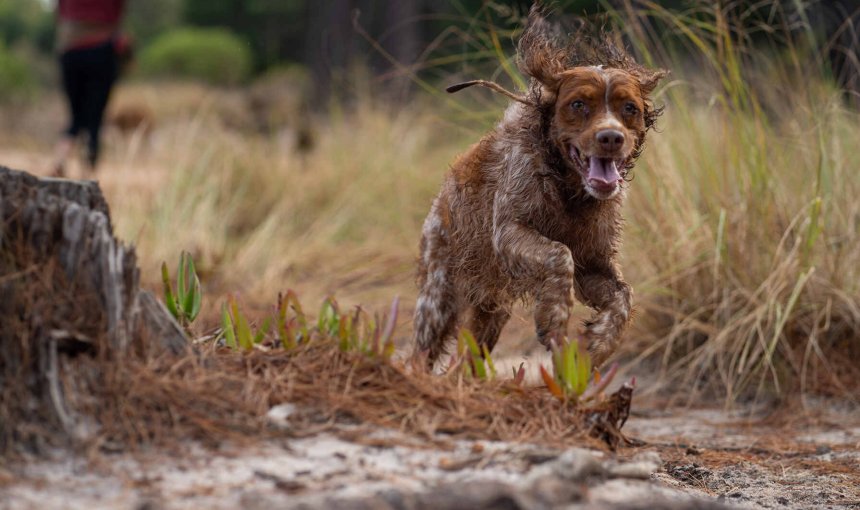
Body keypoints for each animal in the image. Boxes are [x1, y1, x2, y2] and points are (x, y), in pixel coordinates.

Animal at [410, 3, 664, 370]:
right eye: (578, 104)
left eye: (629, 108)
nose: (611, 137)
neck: (568, 190)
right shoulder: (510, 233)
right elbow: (560, 255)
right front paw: (554, 316)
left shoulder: (594, 260)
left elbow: (623, 296)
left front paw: (596, 344)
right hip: (439, 297)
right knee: (421, 353)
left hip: (491, 311)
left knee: (467, 359)